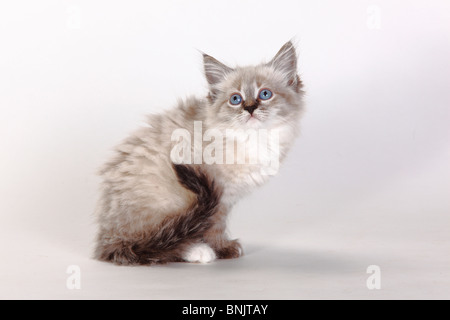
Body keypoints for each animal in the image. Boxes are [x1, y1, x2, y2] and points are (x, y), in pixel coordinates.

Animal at [95, 40, 306, 264]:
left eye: (265, 94)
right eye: (235, 99)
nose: (249, 108)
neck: (252, 138)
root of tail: (106, 239)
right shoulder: (217, 194)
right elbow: (214, 227)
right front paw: (222, 248)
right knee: (158, 243)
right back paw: (197, 251)